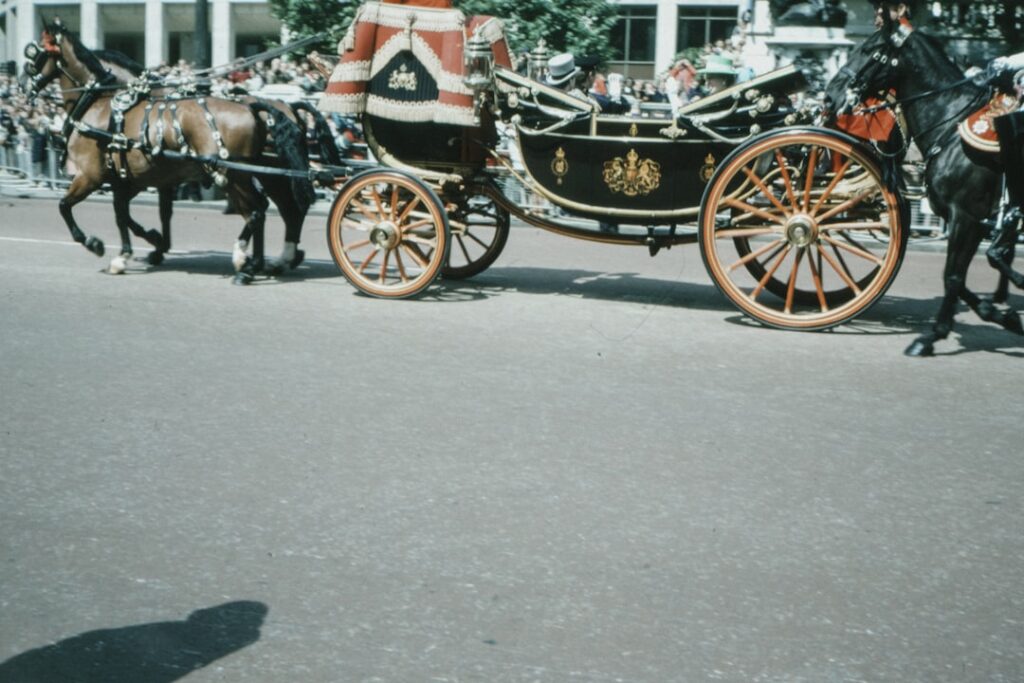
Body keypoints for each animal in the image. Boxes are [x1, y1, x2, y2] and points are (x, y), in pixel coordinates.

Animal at [26, 19, 315, 281]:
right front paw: (144, 247)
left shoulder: (92, 176)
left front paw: (97, 244)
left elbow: (67, 206)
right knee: (280, 211)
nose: (23, 87)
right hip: (261, 175)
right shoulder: (132, 179)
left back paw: (247, 261)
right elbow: (128, 214)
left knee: (260, 211)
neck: (102, 105)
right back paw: (274, 260)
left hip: (235, 174)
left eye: (35, 53)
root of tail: (259, 106)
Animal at [823, 24, 1024, 355]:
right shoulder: (969, 221)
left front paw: (931, 336)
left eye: (869, 49)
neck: (950, 129)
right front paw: (1001, 316)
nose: (829, 96)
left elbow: (954, 276)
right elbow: (959, 278)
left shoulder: (966, 217)